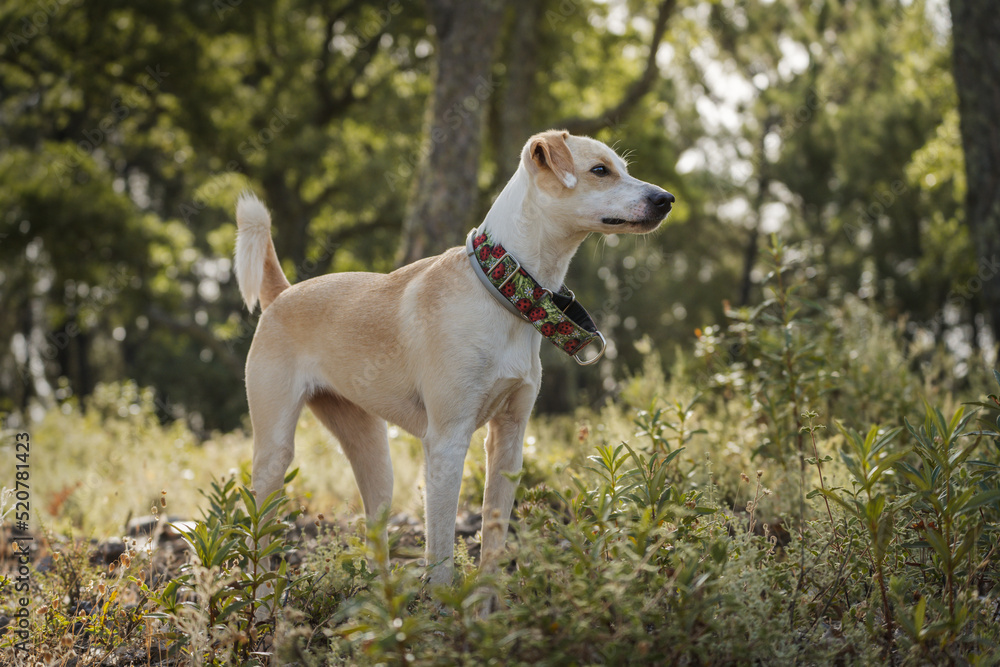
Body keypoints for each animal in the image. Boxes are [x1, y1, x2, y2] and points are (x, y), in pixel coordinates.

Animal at [231, 130, 676, 588]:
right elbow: (441, 548)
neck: (506, 292)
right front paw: (446, 602)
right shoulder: (447, 441)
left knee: (376, 533)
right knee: (258, 536)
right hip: (274, 453)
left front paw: (487, 601)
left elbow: (494, 537)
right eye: (600, 171)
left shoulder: (509, 437)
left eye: (623, 168)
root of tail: (282, 294)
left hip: (373, 455)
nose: (666, 199)